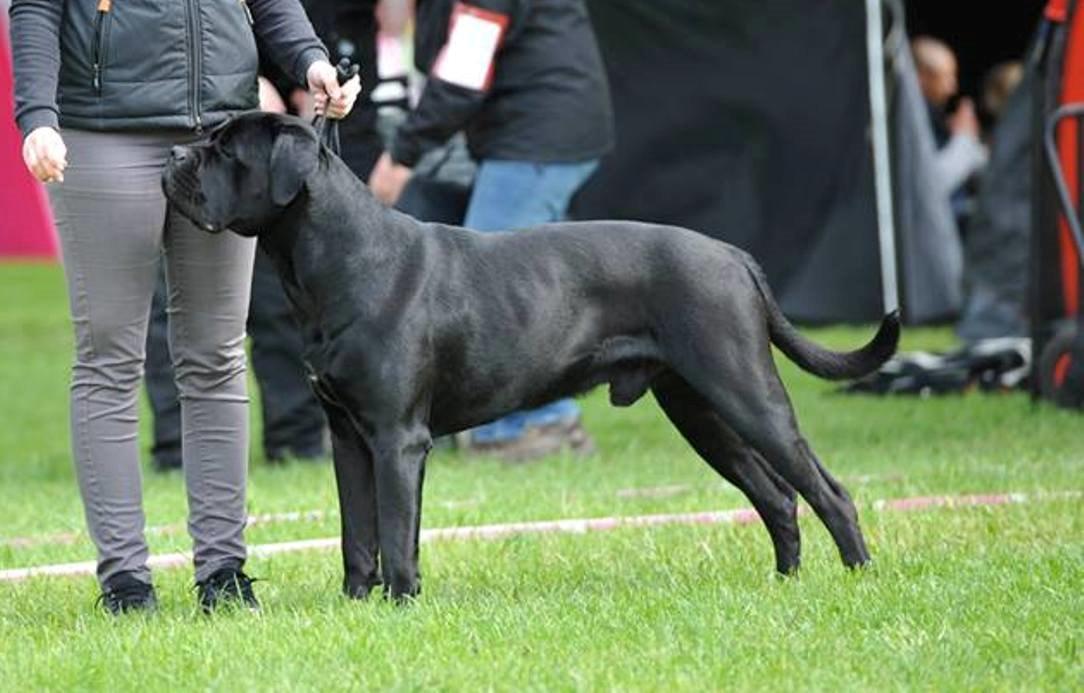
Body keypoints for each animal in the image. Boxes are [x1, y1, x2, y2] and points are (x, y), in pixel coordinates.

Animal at [162, 113, 897, 602]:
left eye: (225, 149)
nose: (171, 153)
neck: (335, 259)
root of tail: (735, 256)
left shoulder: (398, 438)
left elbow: (397, 532)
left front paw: (400, 604)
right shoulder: (348, 434)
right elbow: (357, 534)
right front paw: (355, 605)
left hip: (747, 393)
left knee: (827, 491)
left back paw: (860, 578)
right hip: (700, 410)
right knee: (776, 495)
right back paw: (785, 584)